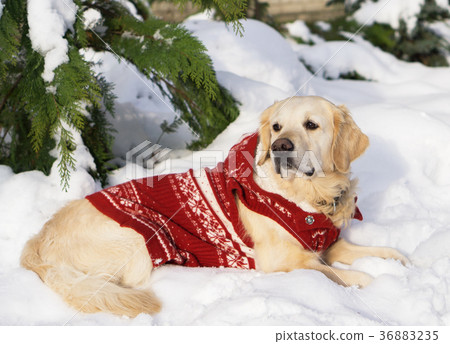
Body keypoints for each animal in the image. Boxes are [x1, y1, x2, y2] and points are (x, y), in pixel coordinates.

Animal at [20, 96, 408, 318]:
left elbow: (367, 251)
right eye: (277, 127)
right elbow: (334, 273)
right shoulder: (282, 260)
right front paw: (369, 282)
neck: (309, 194)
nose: (280, 146)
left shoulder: (329, 243)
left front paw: (397, 260)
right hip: (140, 240)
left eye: (311, 125)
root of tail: (37, 243)